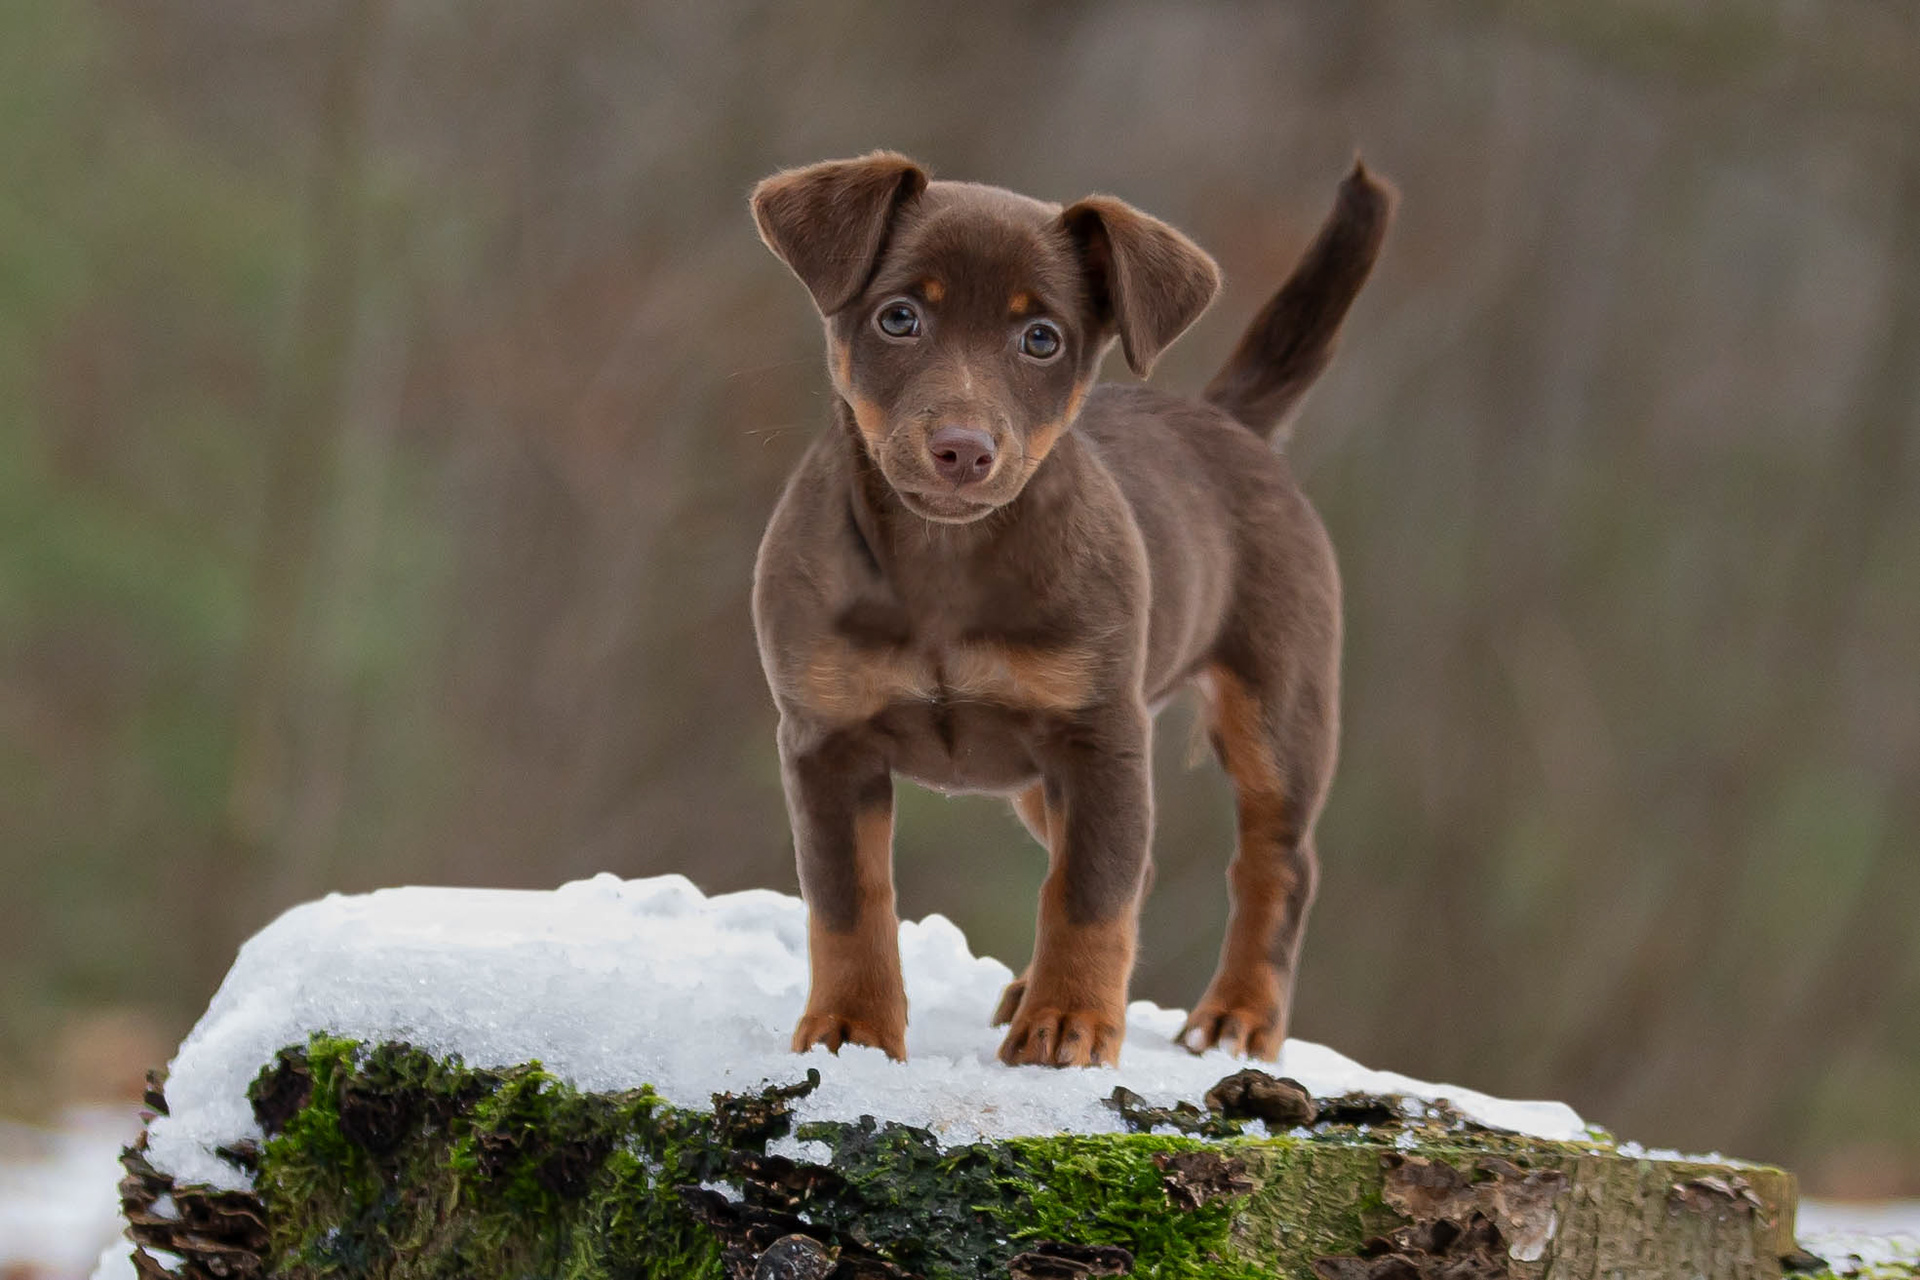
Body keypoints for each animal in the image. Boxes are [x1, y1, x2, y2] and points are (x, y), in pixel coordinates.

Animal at [748, 152, 1391, 1067]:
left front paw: (1070, 1024)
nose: (963, 450)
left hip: (1277, 710)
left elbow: (1089, 895)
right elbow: (849, 904)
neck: (945, 564)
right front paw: (854, 1030)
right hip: (1038, 774)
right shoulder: (826, 741)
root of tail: (1227, 418)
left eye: (1042, 339)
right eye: (899, 317)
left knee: (1275, 865)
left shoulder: (1099, 737)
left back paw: (1240, 1014)